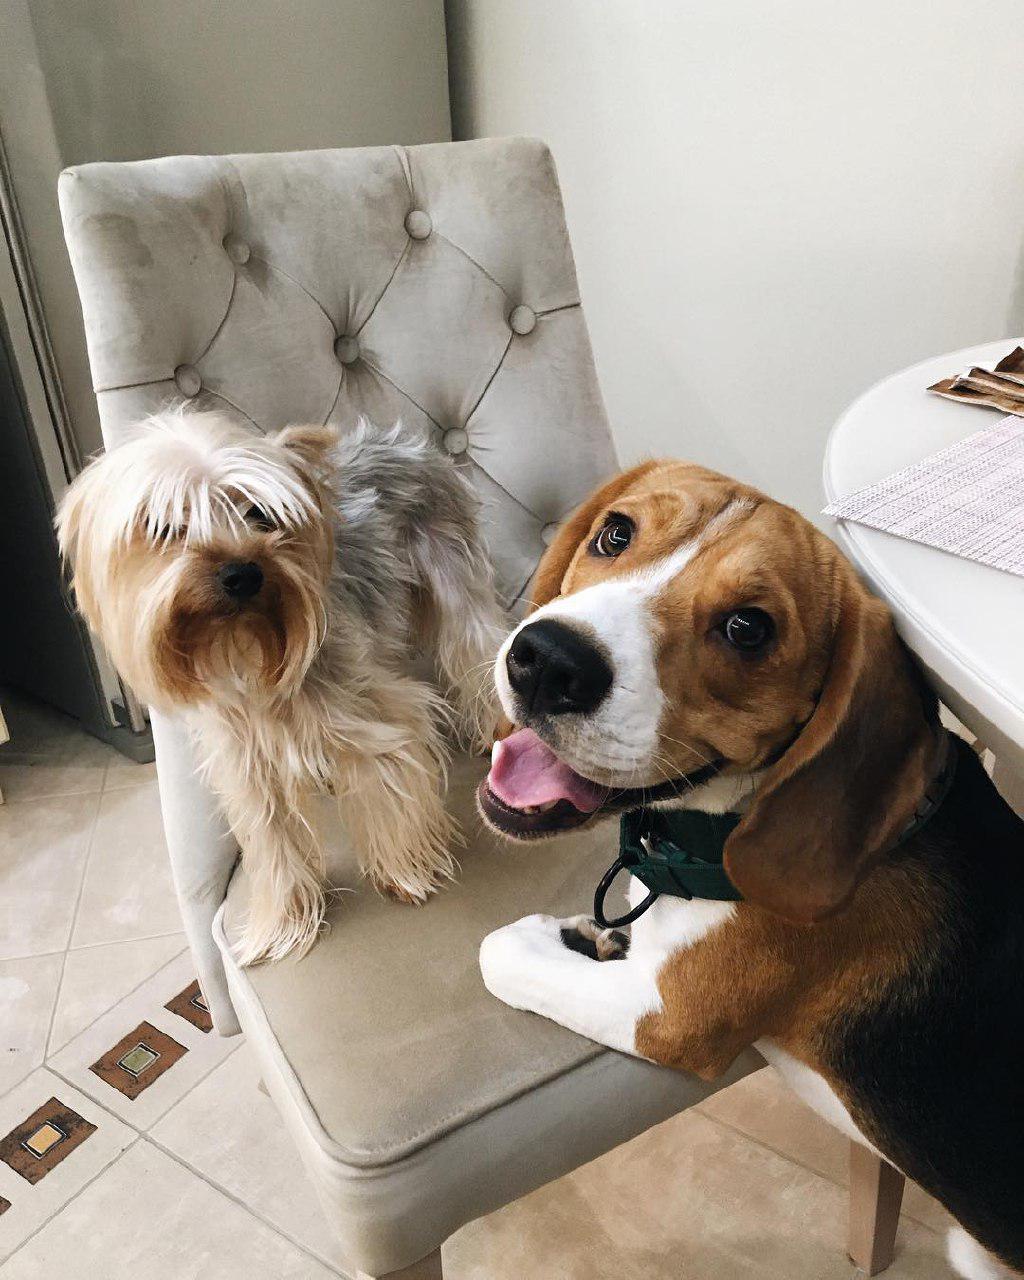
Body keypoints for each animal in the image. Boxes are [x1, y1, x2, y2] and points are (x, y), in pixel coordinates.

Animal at [56, 414, 504, 962]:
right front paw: (285, 922)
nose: (242, 572)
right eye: (165, 527)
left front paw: (406, 870)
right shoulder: (245, 761)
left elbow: (389, 781)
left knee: (477, 644)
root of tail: (411, 445)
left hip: (452, 569)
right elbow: (270, 837)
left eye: (262, 515)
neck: (243, 648)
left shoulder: (376, 711)